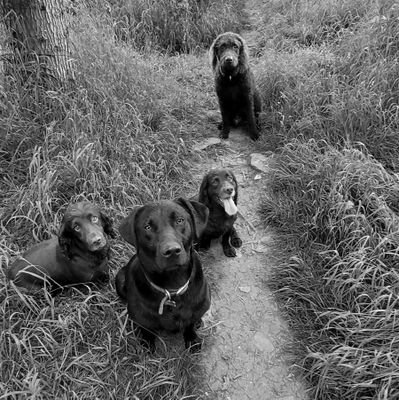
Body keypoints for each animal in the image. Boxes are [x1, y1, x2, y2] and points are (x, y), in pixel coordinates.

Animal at [115, 198, 211, 352]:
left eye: (180, 220)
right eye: (147, 227)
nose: (171, 250)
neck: (172, 286)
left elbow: (190, 323)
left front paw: (192, 339)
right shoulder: (141, 318)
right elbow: (146, 329)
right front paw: (146, 344)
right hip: (119, 278)